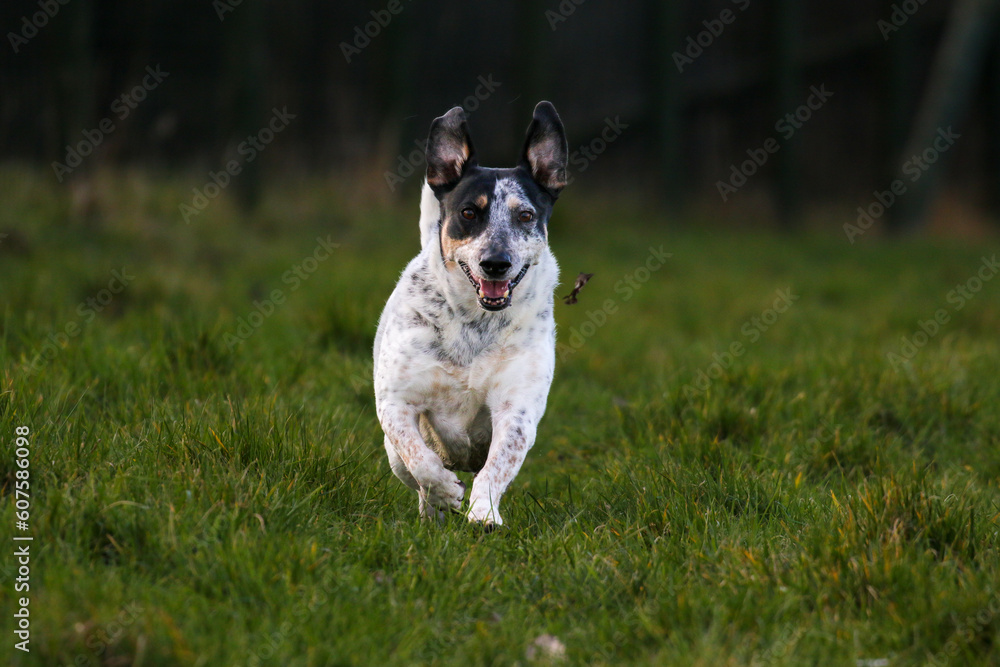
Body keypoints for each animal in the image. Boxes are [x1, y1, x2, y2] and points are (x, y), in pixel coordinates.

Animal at [376, 100, 568, 528]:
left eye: (525, 215)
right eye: (468, 212)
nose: (496, 262)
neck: (474, 326)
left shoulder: (517, 409)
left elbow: (497, 465)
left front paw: (483, 514)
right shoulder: (397, 403)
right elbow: (420, 459)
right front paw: (446, 490)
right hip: (393, 456)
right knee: (411, 472)